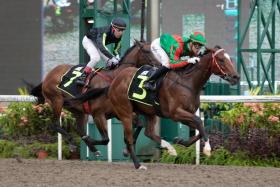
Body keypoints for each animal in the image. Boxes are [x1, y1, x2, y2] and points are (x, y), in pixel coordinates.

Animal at [30, 40, 160, 156]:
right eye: (147, 51)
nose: (159, 66)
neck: (114, 80)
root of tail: (48, 75)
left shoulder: (119, 113)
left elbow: (139, 125)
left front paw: (126, 150)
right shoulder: (98, 114)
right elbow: (106, 139)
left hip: (78, 110)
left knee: (79, 129)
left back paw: (91, 148)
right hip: (57, 101)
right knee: (56, 124)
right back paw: (73, 143)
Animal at [103, 45, 241, 169]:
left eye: (230, 59)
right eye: (221, 59)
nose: (236, 77)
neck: (188, 82)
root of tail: (116, 79)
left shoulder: (186, 114)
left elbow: (201, 128)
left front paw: (179, 141)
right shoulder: (176, 113)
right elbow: (199, 122)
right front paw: (207, 148)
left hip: (149, 112)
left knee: (148, 132)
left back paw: (169, 148)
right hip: (125, 112)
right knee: (129, 139)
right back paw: (138, 164)